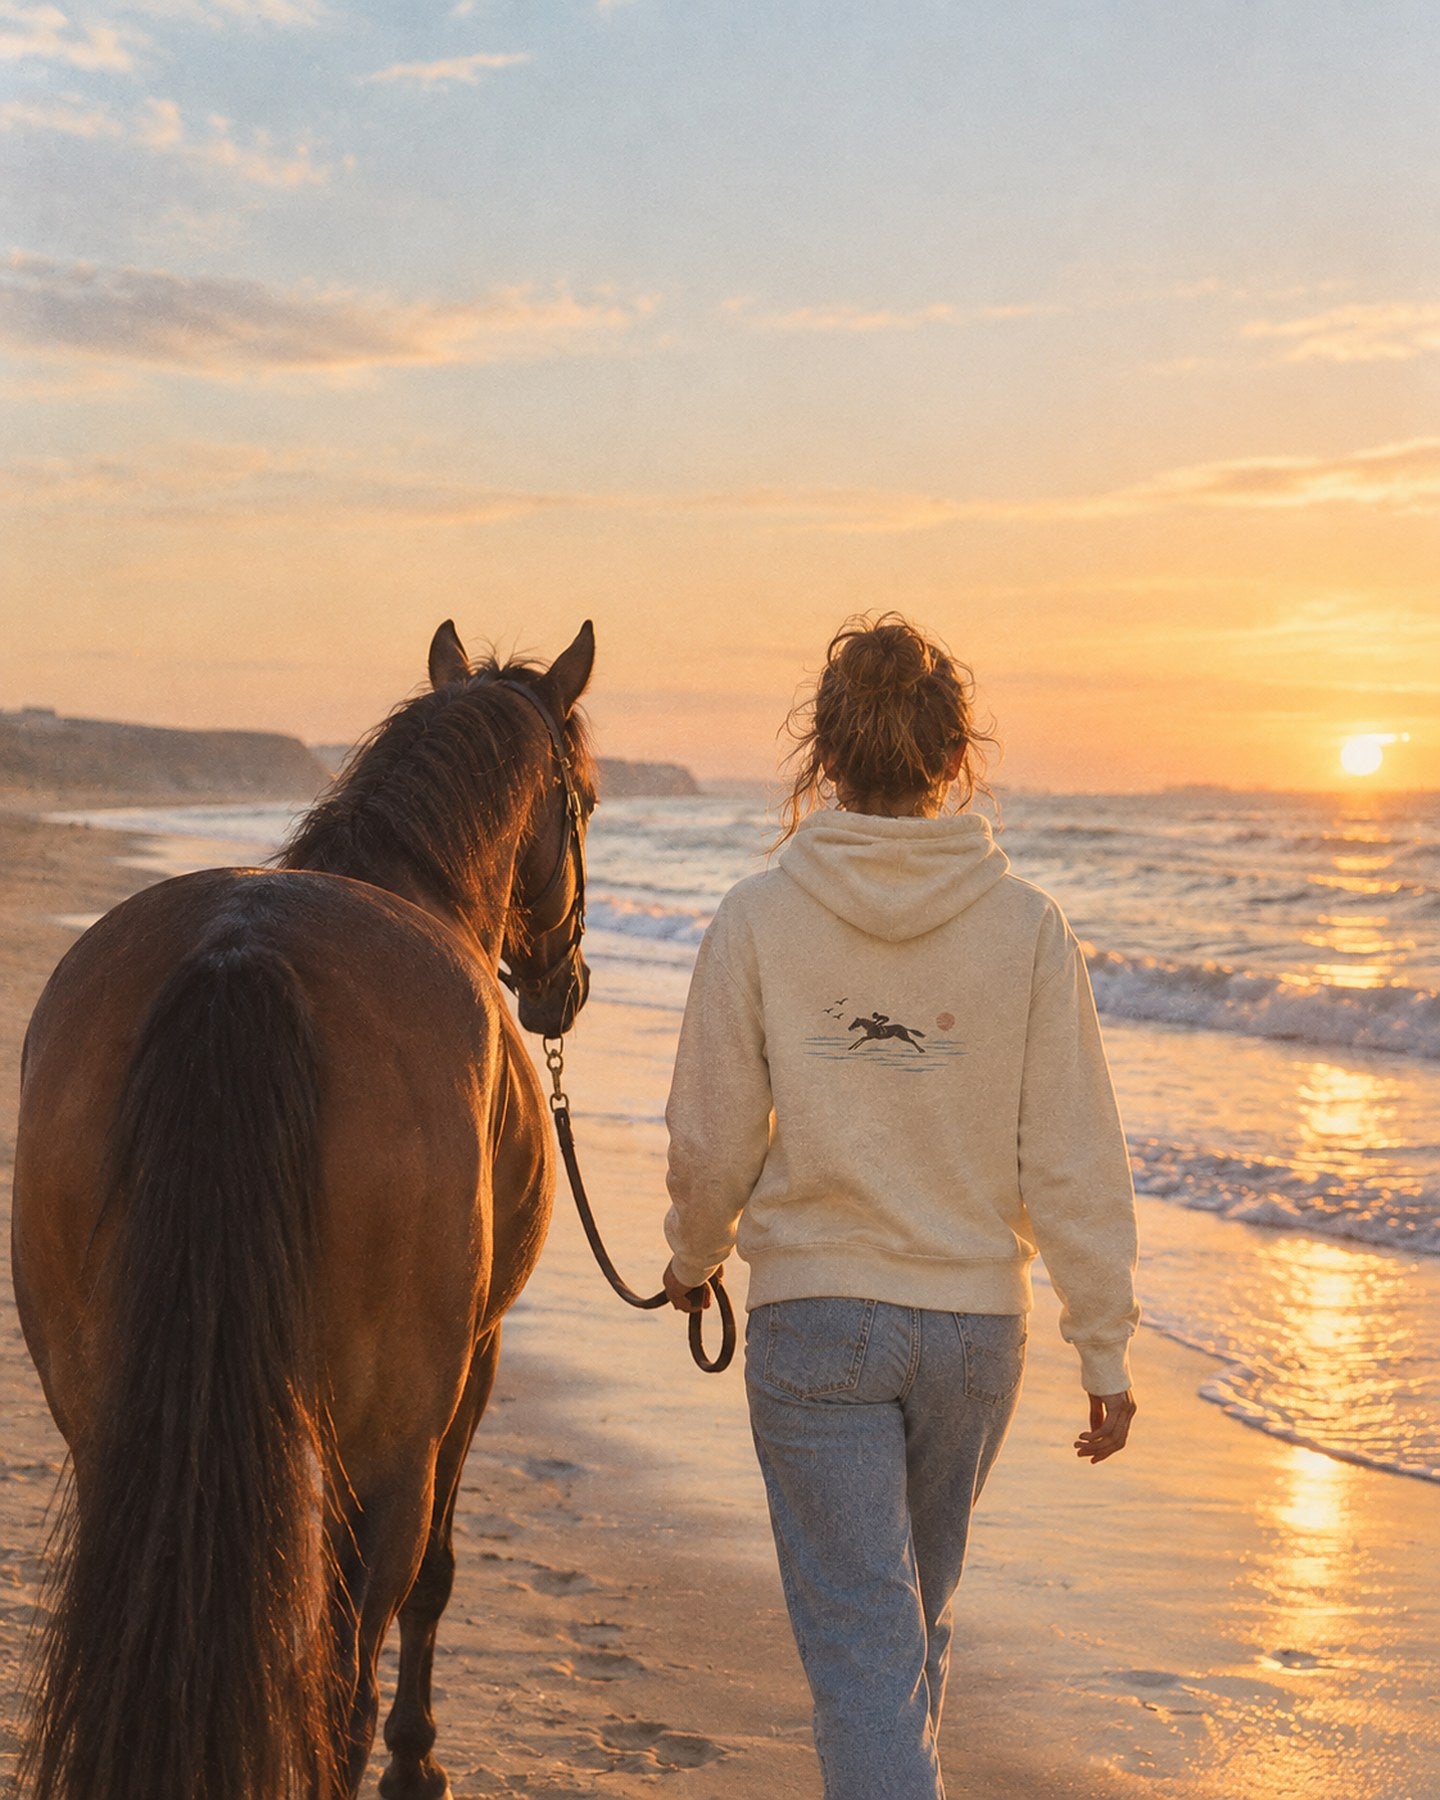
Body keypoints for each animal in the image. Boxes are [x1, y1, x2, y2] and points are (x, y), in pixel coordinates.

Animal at [11, 619, 596, 1800]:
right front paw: (421, 1761)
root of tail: (241, 953)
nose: (566, 991)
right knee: (346, 1672)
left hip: (98, 1405)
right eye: (592, 802)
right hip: (393, 1431)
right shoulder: (477, 1359)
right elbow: (432, 1583)